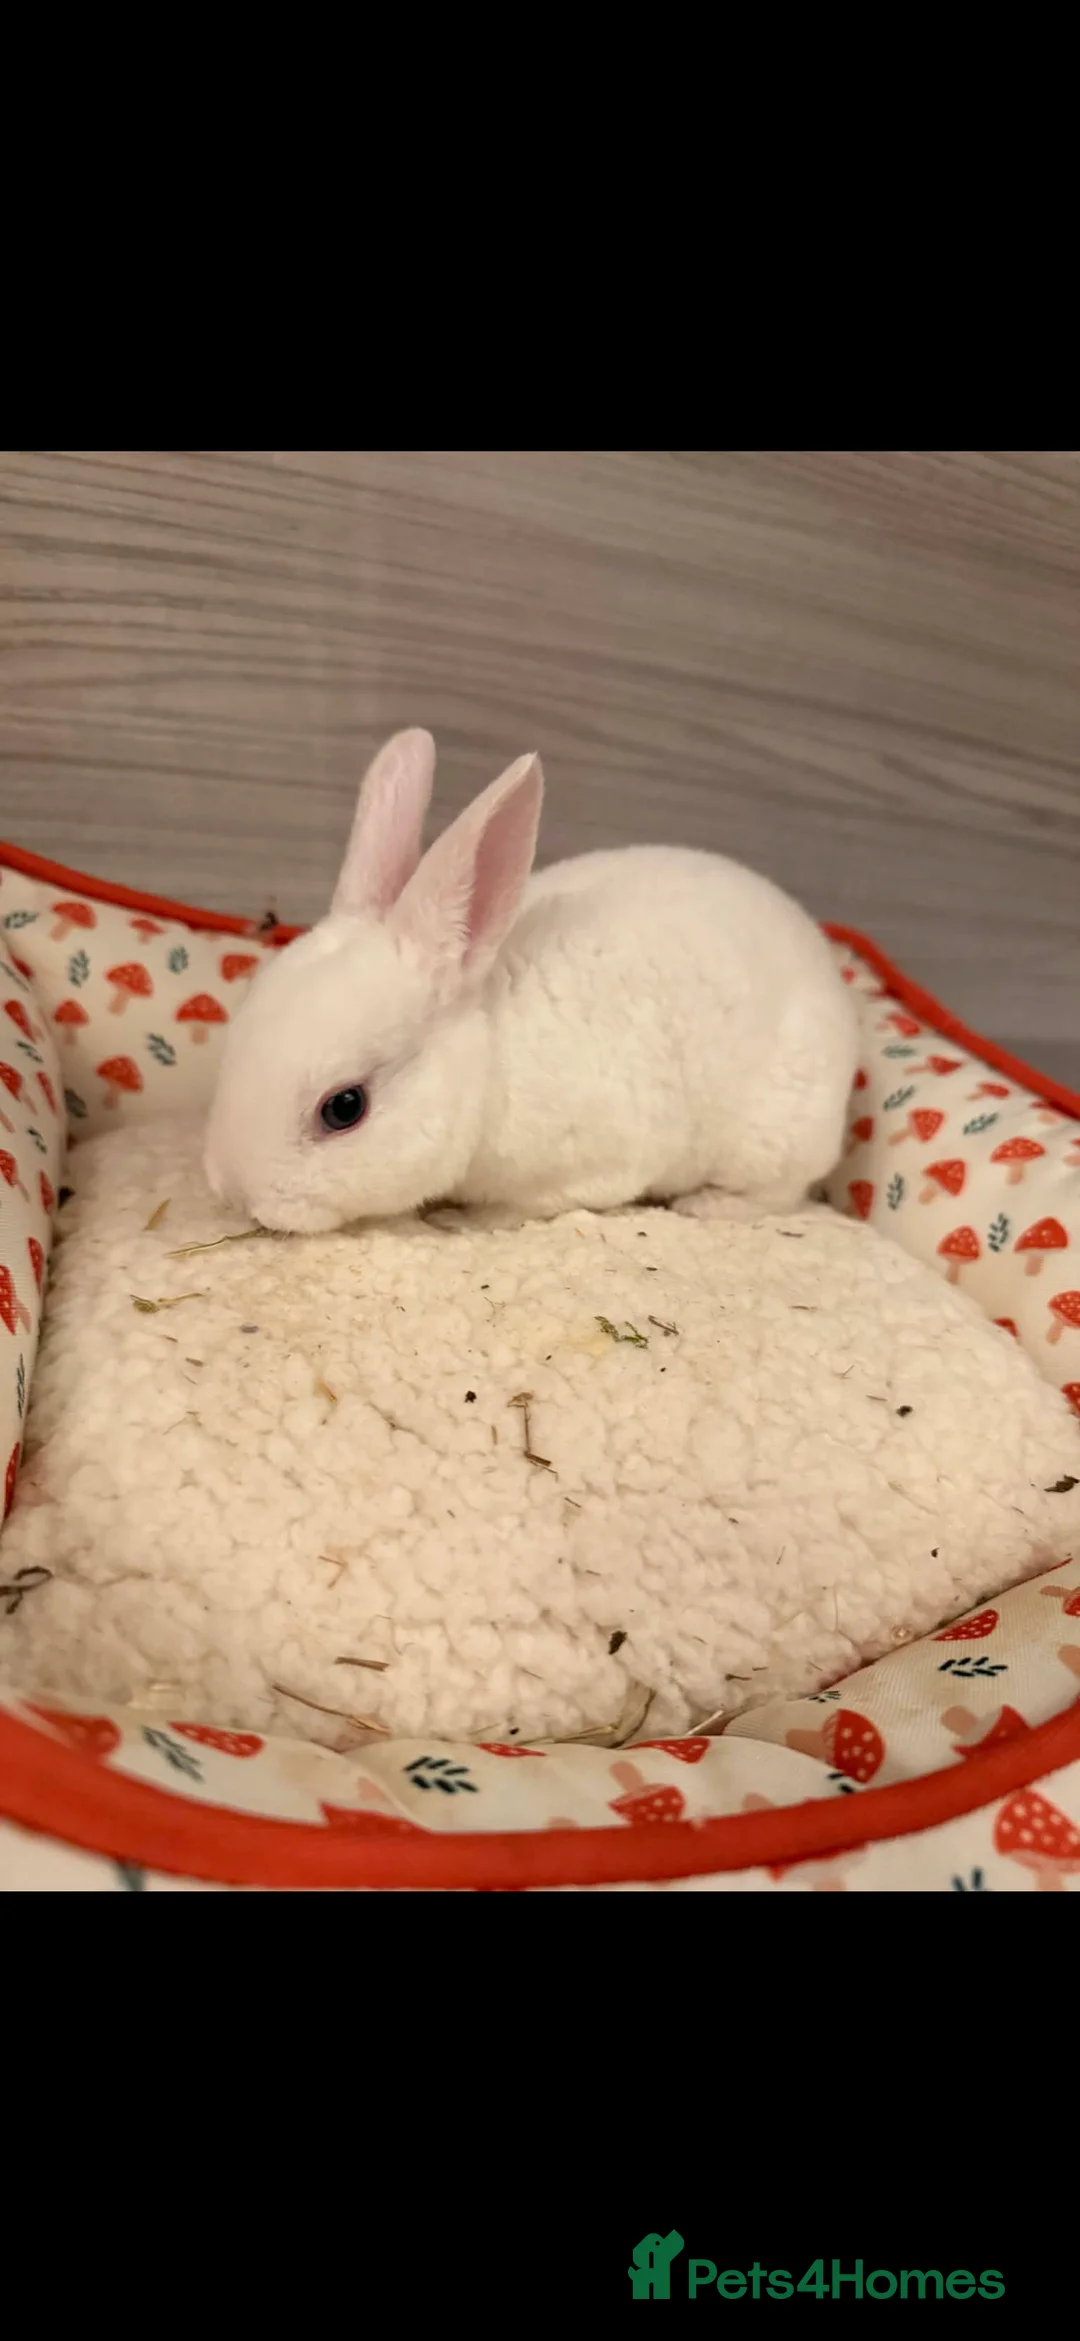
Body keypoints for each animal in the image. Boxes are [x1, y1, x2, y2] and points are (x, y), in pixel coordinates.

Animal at [203, 728, 859, 1235]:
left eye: (344, 1108)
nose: (237, 1195)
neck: (489, 1060)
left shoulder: (595, 1163)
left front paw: (462, 1221)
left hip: (771, 1139)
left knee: (779, 1191)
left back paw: (707, 1205)